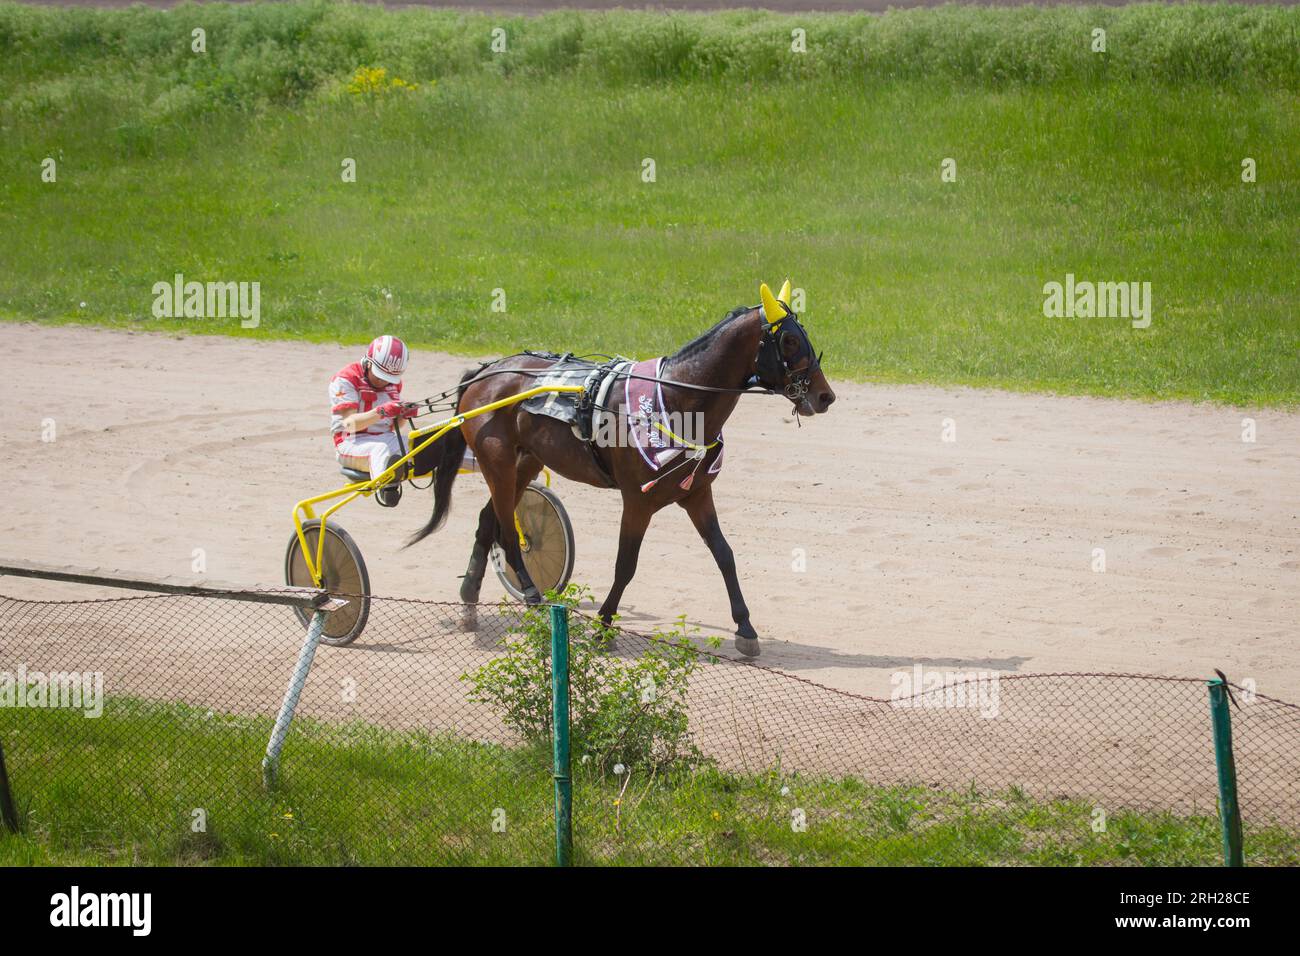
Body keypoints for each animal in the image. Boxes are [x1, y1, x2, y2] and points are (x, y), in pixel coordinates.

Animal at [405, 282, 837, 658]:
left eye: (802, 333)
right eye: (789, 340)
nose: (825, 396)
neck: (676, 398)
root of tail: (486, 371)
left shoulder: (697, 494)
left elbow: (724, 555)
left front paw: (745, 629)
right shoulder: (637, 502)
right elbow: (625, 565)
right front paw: (603, 626)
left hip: (526, 460)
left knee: (487, 520)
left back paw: (469, 603)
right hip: (497, 460)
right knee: (508, 533)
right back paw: (530, 593)